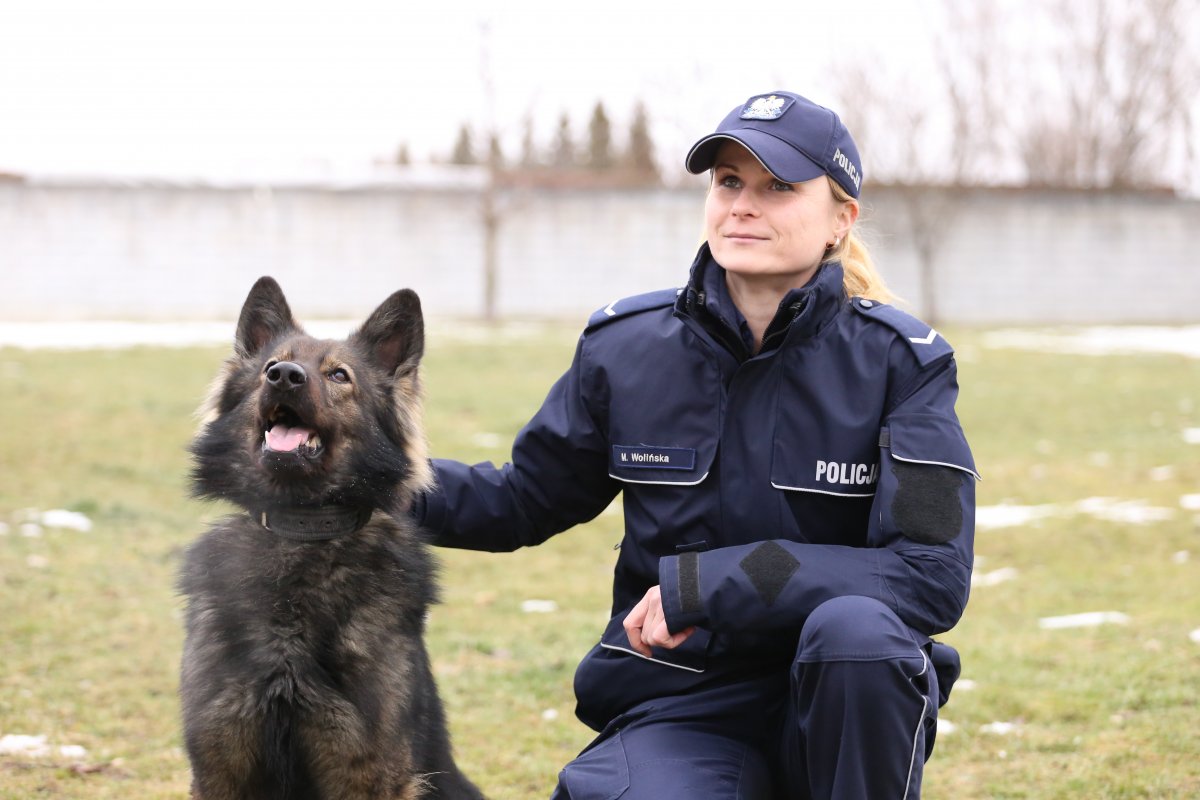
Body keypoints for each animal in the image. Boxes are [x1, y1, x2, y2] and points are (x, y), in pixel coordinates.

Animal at [180, 277, 480, 800]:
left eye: (339, 375)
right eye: (270, 367)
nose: (284, 377)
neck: (300, 534)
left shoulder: (368, 772)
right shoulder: (220, 766)